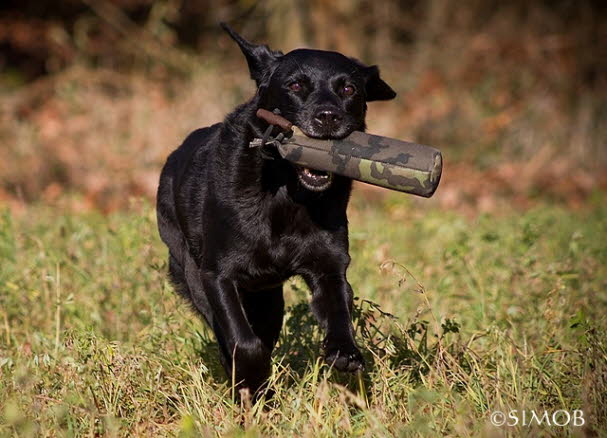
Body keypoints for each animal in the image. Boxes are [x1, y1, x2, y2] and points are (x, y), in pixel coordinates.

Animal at [157, 23, 396, 394]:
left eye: (348, 88)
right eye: (295, 85)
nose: (328, 117)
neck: (287, 195)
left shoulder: (329, 266)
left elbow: (339, 308)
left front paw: (344, 351)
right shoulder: (218, 275)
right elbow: (244, 343)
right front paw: (253, 377)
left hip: (268, 297)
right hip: (193, 273)